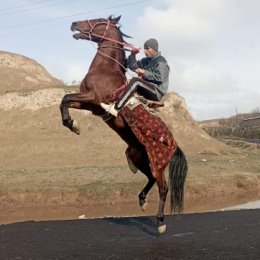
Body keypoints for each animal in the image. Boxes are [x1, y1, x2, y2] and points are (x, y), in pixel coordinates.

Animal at [60, 15, 188, 234]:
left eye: (99, 20)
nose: (74, 24)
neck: (105, 69)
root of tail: (173, 144)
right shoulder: (89, 104)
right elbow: (65, 101)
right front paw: (71, 123)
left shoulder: (93, 98)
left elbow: (66, 98)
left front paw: (73, 123)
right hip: (138, 157)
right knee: (151, 179)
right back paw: (142, 200)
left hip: (157, 163)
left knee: (163, 188)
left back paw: (160, 222)